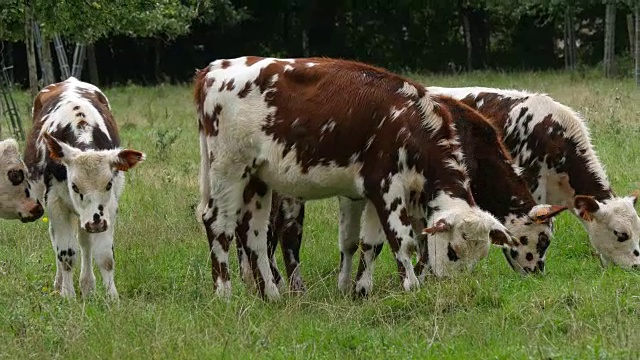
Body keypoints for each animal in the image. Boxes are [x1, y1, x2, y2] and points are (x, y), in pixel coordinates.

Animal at [24, 77, 146, 300]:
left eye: (108, 184)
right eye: (74, 185)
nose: (96, 223)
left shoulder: (109, 208)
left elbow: (104, 255)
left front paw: (111, 296)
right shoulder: (56, 204)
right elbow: (65, 254)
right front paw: (68, 295)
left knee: (85, 242)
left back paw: (88, 285)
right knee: (57, 239)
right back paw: (59, 283)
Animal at [194, 55, 516, 298]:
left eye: (479, 256)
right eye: (452, 252)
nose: (453, 288)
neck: (408, 122)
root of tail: (214, 69)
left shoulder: (372, 193)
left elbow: (371, 244)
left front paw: (361, 289)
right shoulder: (386, 186)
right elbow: (403, 240)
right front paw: (411, 286)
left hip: (256, 180)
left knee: (254, 233)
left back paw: (271, 295)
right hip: (229, 169)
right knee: (218, 224)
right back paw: (224, 293)